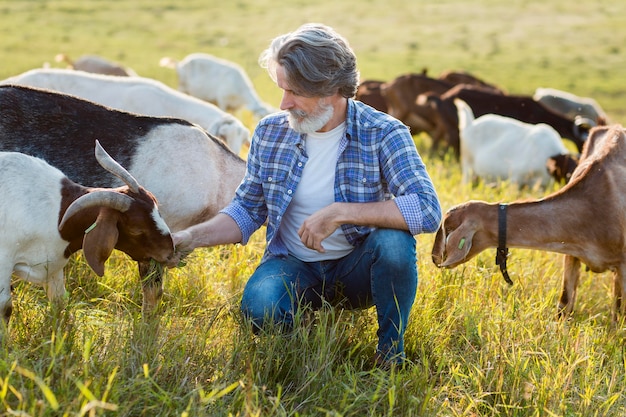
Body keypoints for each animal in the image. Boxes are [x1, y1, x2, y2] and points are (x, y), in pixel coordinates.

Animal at [0, 140, 176, 332]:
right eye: (136, 229)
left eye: (157, 209)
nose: (170, 253)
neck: (58, 215)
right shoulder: (4, 262)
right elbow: (5, 308)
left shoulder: (52, 265)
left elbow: (59, 301)